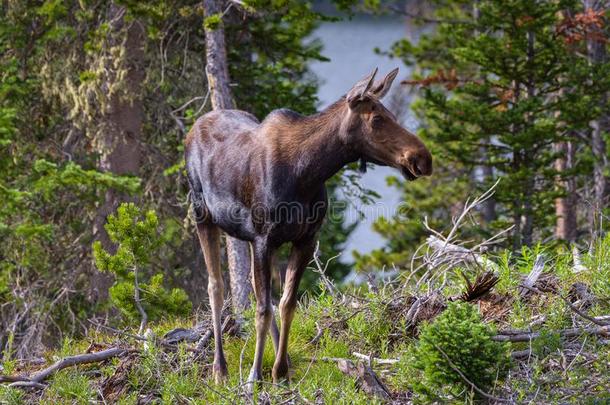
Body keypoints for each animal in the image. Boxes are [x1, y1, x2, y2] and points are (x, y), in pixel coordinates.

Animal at [183, 67, 430, 386]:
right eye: (377, 119)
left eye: (391, 114)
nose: (423, 158)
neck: (307, 172)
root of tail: (194, 127)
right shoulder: (264, 238)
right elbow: (262, 309)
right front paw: (253, 376)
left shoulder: (305, 238)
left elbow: (287, 303)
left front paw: (280, 370)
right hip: (202, 213)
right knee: (216, 286)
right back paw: (220, 368)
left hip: (246, 235)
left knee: (257, 289)